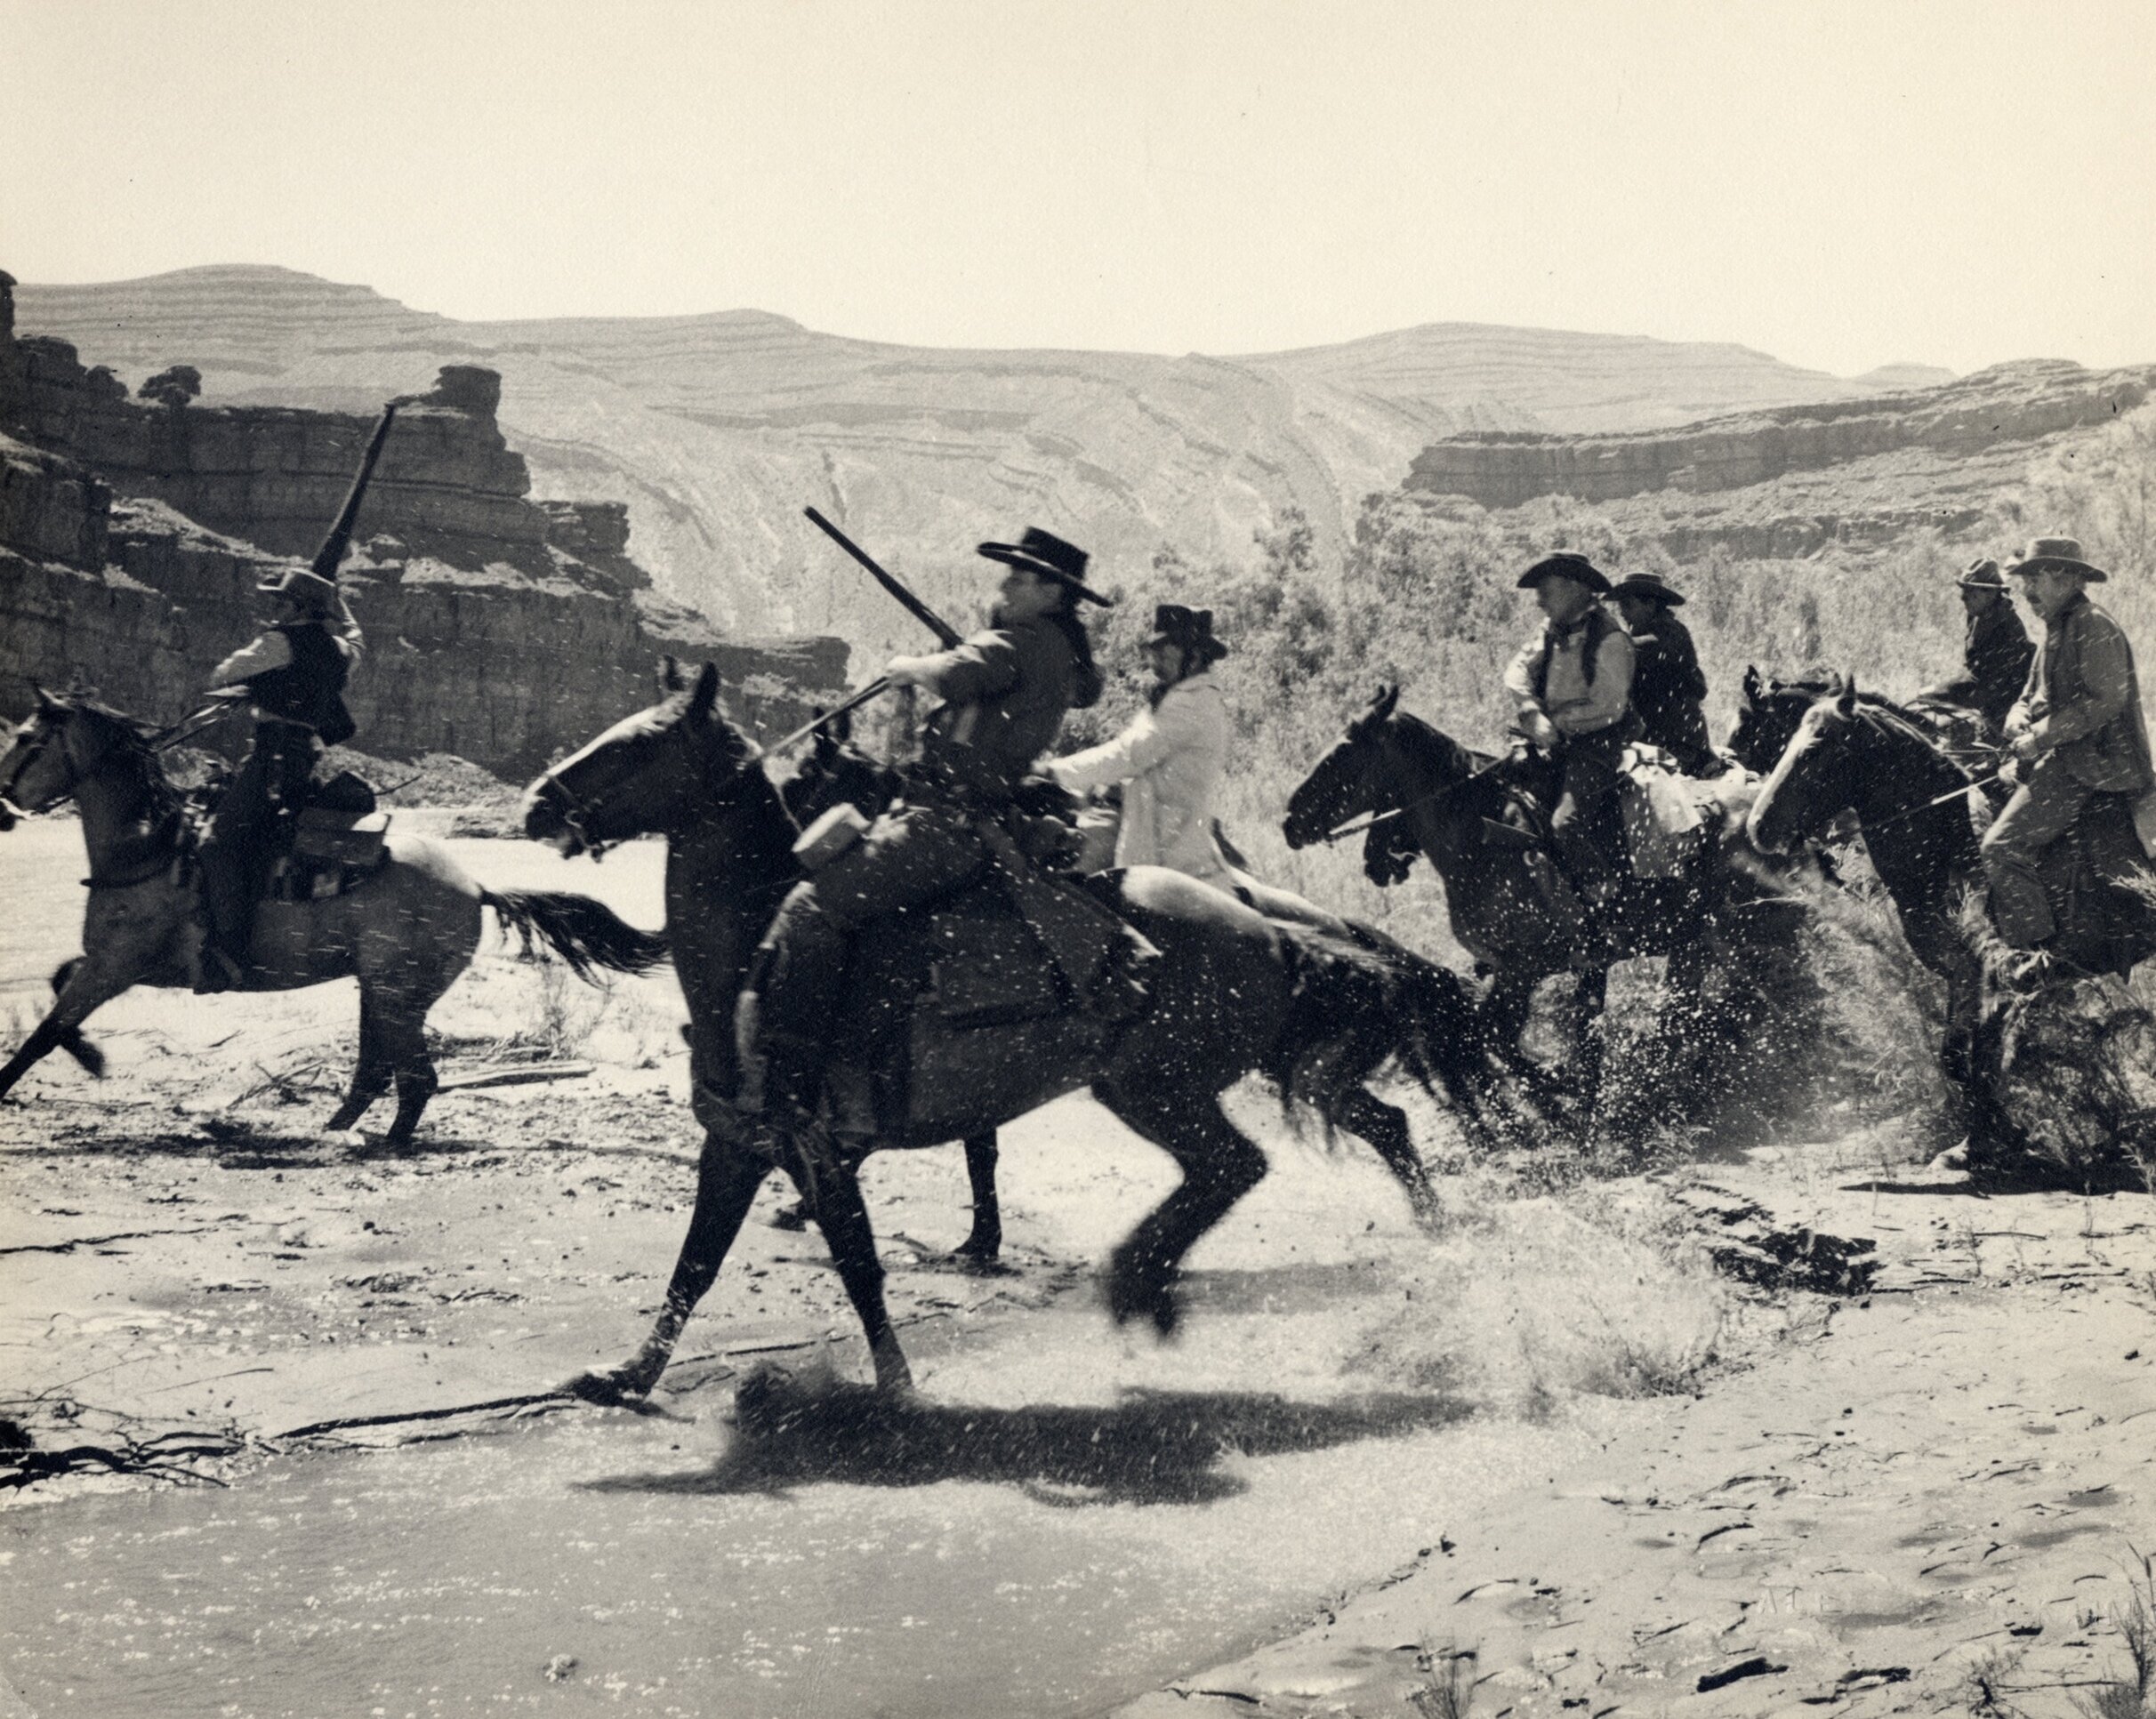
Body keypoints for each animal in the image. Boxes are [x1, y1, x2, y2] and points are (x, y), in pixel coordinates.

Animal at [0, 690, 668, 1147]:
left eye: (28, 738)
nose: (4, 805)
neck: (150, 849)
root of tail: (476, 887)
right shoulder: (110, 964)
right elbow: (56, 990)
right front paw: (92, 1055)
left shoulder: (117, 966)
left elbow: (41, 1034)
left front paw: (69, 1064)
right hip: (380, 988)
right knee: (377, 1071)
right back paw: (334, 1127)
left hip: (397, 992)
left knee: (414, 1076)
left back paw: (383, 1141)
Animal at [530, 655, 1492, 1397]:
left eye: (635, 744)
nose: (539, 802)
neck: (755, 948)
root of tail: (1269, 929)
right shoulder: (740, 1140)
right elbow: (698, 1262)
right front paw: (626, 1376)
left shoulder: (818, 1142)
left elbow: (860, 1261)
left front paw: (899, 1384)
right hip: (1195, 1081)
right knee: (1323, 1138)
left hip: (1156, 1088)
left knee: (1239, 1163)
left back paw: (1140, 1278)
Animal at [1276, 686, 1802, 1129]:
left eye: (1342, 754)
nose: (1289, 821)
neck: (1483, 838)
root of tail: (1765, 808)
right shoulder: (1521, 970)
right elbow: (1495, 1035)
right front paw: (1566, 1095)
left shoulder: (1523, 969)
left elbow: (1493, 1036)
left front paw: (1562, 1090)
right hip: (1700, 942)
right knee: (1694, 1010)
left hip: (1745, 932)